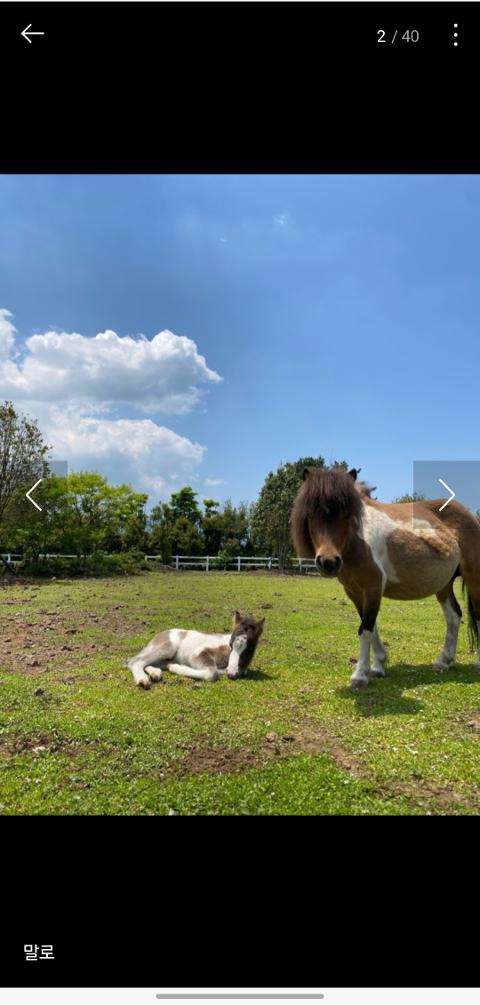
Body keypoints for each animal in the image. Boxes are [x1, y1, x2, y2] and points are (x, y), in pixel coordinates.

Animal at [291, 466, 480, 687]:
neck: (356, 542)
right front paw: (378, 666)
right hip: (444, 585)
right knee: (453, 616)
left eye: (347, 514)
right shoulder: (355, 592)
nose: (328, 562)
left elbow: (365, 629)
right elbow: (370, 627)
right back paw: (443, 662)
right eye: (311, 514)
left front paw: (360, 675)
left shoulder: (373, 588)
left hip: (475, 579)